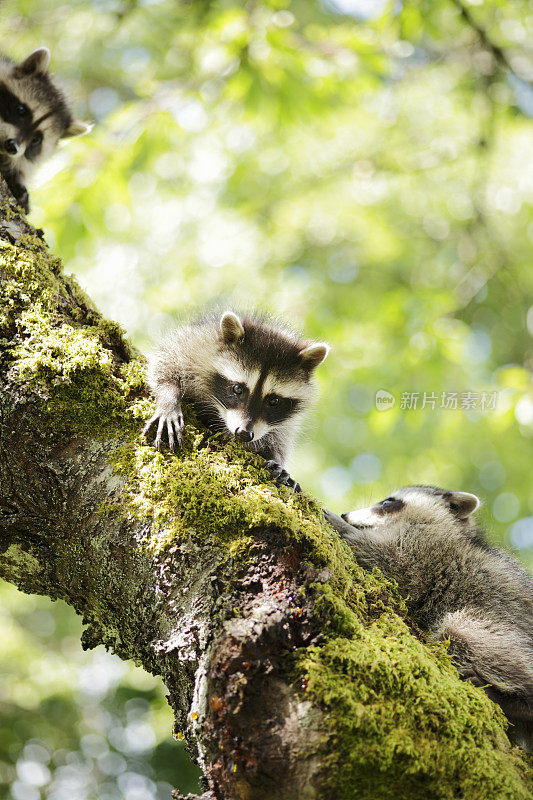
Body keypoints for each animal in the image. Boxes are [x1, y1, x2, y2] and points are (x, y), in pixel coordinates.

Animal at [143, 310, 330, 490]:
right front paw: (169, 398)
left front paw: (275, 456)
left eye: (274, 401)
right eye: (237, 389)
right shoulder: (198, 342)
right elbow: (168, 360)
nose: (244, 433)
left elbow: (280, 435)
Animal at [324, 484, 532, 752]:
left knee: (462, 633)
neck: (453, 528)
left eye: (387, 502)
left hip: (508, 631)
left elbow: (397, 565)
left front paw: (343, 528)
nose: (345, 514)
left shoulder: (428, 547)